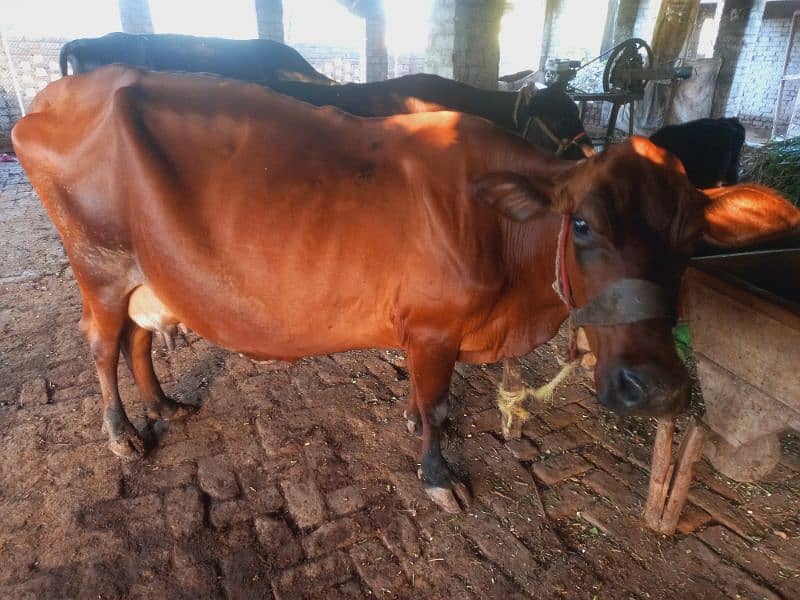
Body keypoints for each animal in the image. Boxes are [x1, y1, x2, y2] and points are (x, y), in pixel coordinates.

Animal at [14, 69, 792, 510]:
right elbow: (438, 404)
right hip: (98, 263)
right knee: (102, 343)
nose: (655, 389)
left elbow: (425, 399)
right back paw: (123, 434)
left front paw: (416, 426)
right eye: (582, 225)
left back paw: (164, 405)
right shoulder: (432, 328)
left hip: (145, 272)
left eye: (692, 238)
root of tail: (49, 101)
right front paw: (440, 474)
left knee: (139, 337)